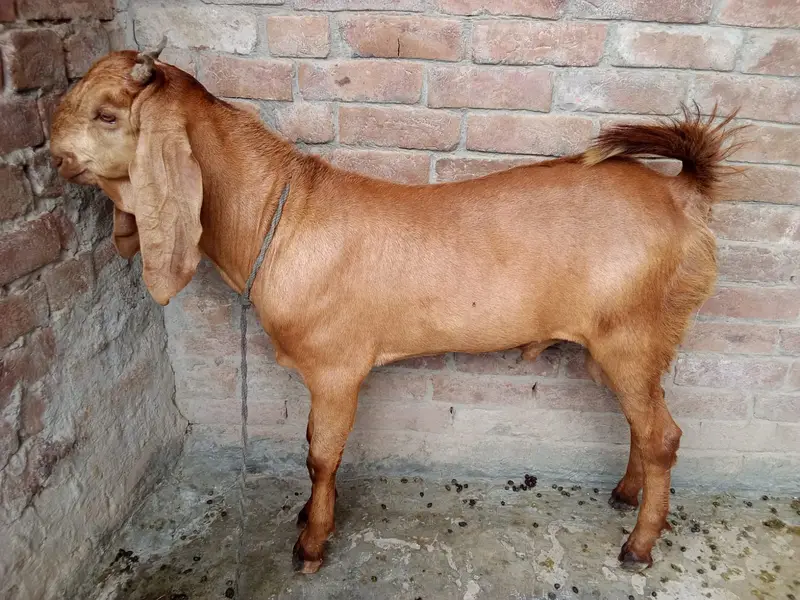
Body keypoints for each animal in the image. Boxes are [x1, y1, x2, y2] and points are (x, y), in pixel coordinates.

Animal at [50, 47, 741, 574]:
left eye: (108, 114)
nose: (53, 151)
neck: (281, 215)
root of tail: (682, 192)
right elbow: (313, 445)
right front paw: (308, 517)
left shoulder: (336, 369)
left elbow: (321, 453)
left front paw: (310, 544)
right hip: (622, 346)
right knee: (642, 425)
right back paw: (625, 496)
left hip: (631, 336)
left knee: (663, 436)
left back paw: (638, 545)